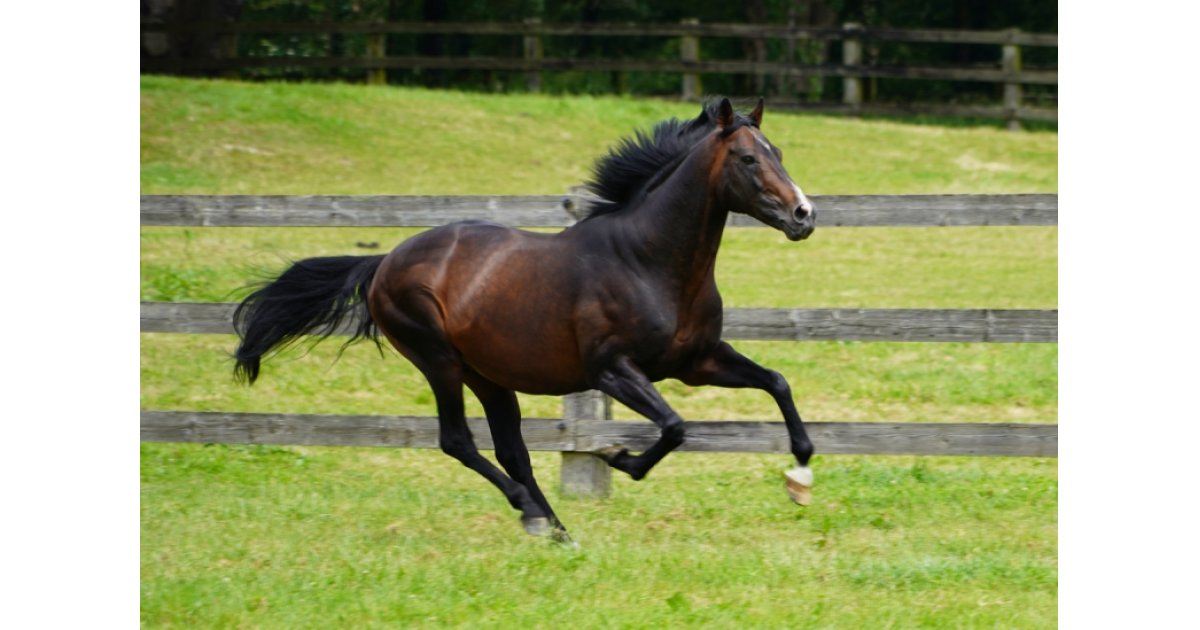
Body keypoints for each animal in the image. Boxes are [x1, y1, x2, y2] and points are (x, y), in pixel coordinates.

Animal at [231, 98, 816, 540]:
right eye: (747, 158)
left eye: (779, 153)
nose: (803, 215)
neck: (646, 260)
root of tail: (384, 263)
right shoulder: (612, 370)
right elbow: (674, 426)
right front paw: (618, 457)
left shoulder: (697, 362)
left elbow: (777, 383)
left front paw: (800, 476)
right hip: (438, 361)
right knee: (459, 442)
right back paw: (530, 511)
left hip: (489, 375)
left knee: (512, 450)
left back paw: (554, 528)